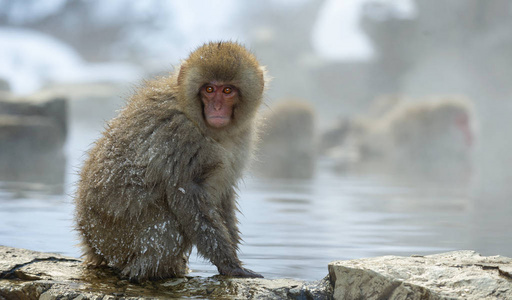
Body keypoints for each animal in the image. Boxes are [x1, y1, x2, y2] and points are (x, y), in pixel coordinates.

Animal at [77, 41, 268, 280]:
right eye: (209, 89)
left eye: (227, 90)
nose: (216, 108)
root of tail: (91, 245)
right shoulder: (181, 138)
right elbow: (186, 196)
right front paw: (229, 264)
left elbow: (224, 194)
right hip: (115, 241)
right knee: (167, 223)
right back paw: (147, 271)